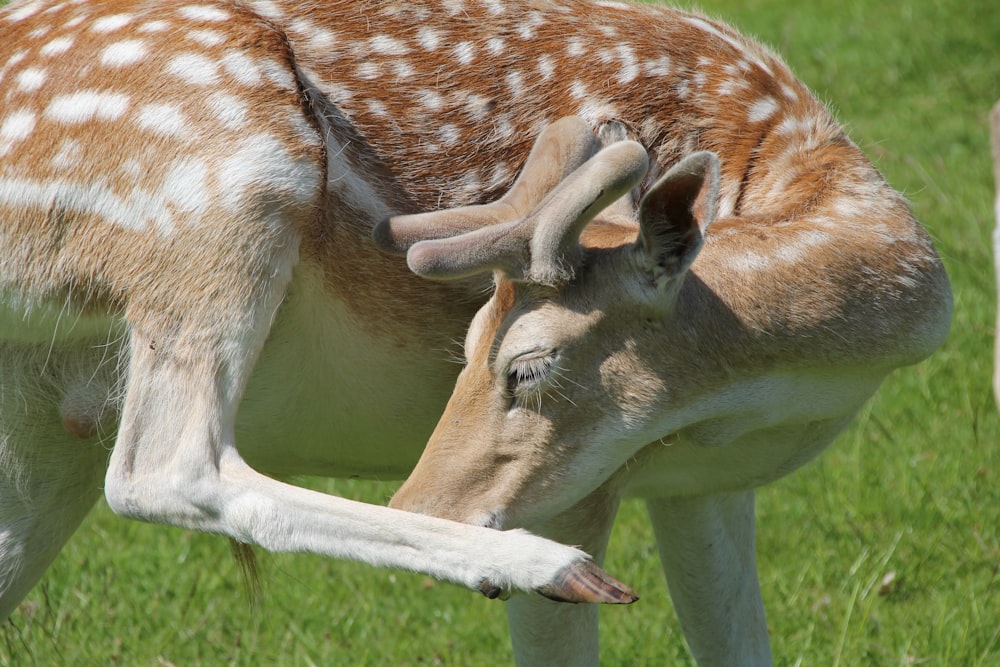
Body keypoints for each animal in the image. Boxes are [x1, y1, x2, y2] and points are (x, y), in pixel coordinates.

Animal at [1, 0, 952, 664]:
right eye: (465, 344)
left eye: (524, 365)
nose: (422, 500)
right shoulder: (577, 483)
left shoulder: (709, 485)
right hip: (221, 177)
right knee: (164, 464)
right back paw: (542, 563)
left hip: (40, 418)